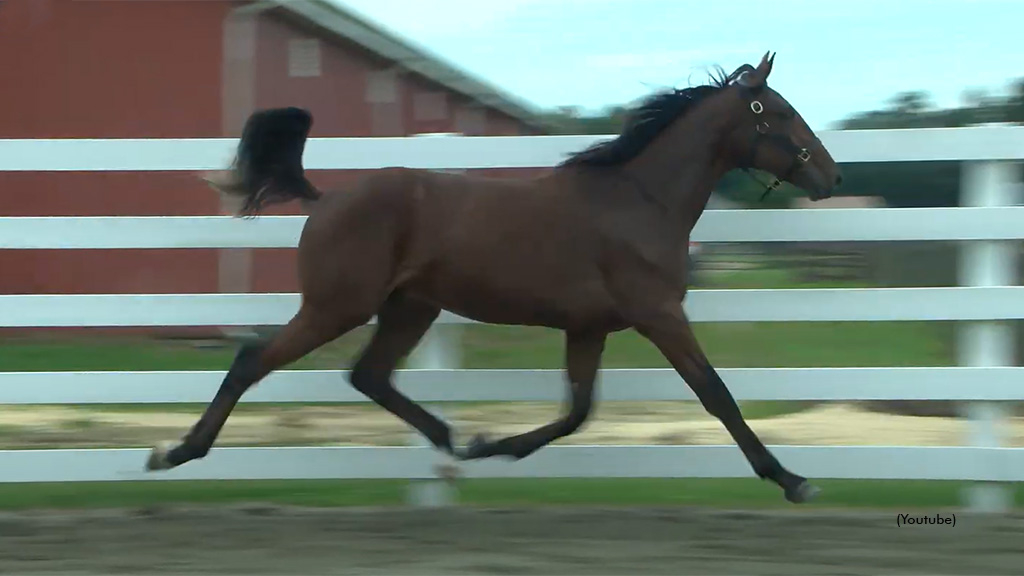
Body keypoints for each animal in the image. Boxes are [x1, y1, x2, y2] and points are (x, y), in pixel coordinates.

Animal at [148, 53, 843, 502]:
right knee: (254, 360)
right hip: (337, 305)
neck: (639, 199)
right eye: (779, 112)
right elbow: (716, 394)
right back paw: (174, 452)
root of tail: (328, 198)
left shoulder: (588, 328)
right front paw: (793, 480)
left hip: (410, 307)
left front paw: (493, 447)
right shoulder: (660, 315)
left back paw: (454, 441)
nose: (832, 176)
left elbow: (577, 412)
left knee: (368, 375)